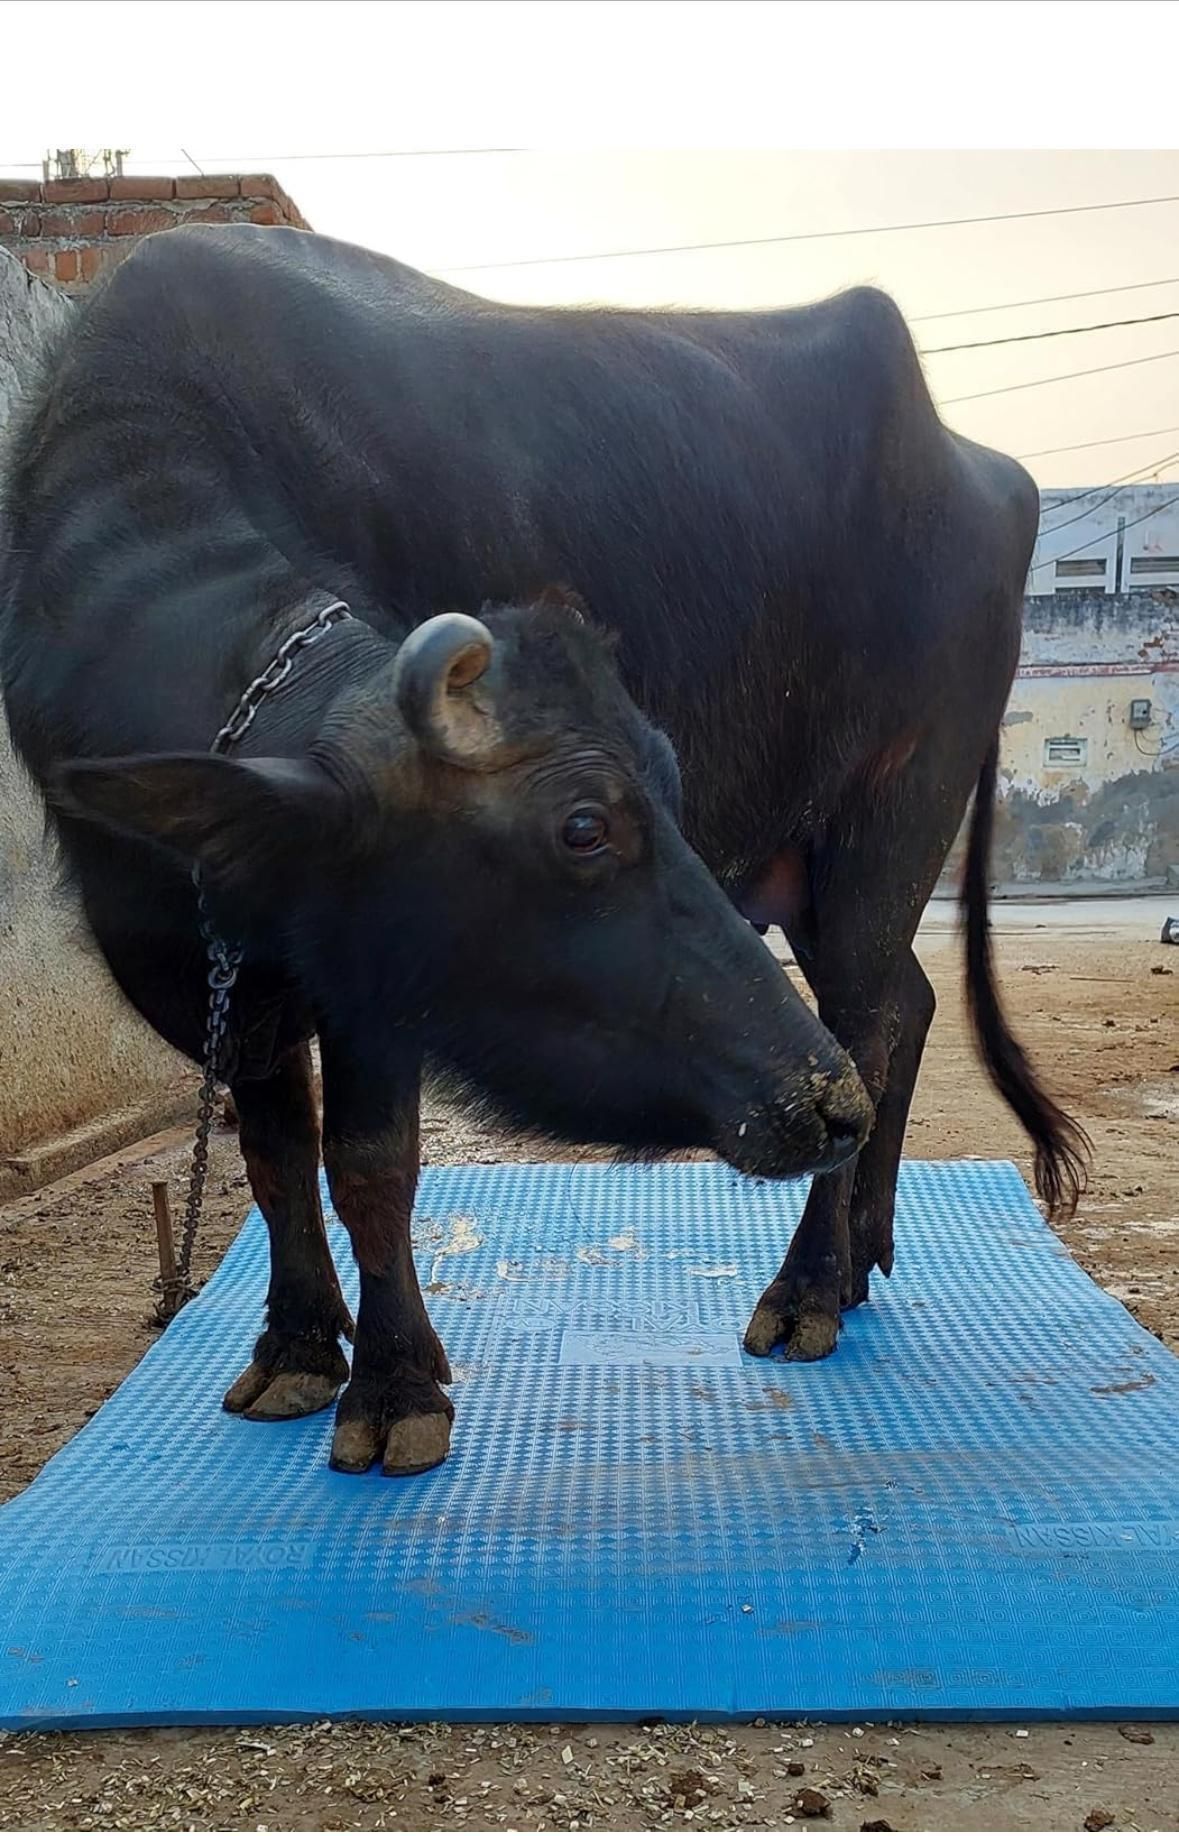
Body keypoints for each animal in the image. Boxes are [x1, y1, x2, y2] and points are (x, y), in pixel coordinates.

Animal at [0, 224, 1086, 1476]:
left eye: (650, 795)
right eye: (584, 827)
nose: (811, 1105)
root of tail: (982, 472)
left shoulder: (375, 986)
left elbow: (369, 1163)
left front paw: (393, 1391)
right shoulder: (213, 958)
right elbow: (273, 1154)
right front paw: (296, 1353)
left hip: (892, 819)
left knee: (866, 1015)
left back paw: (807, 1286)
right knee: (905, 1005)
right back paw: (859, 1255)